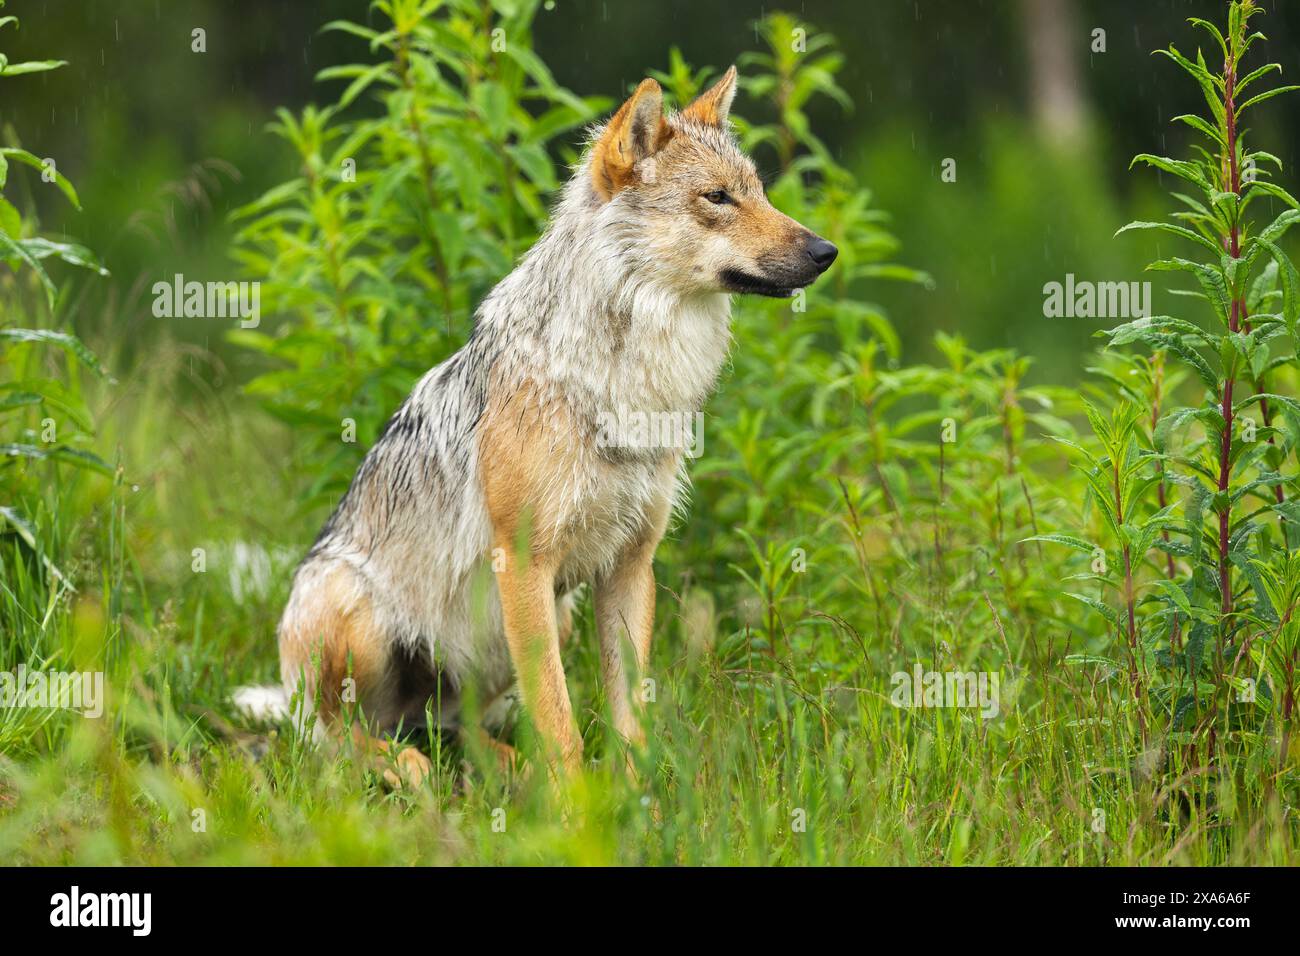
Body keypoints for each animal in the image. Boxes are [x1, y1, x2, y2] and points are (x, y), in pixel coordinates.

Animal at [235, 65, 837, 785]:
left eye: (760, 193)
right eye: (717, 198)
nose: (827, 250)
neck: (628, 382)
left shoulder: (631, 563)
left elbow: (629, 716)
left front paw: (636, 799)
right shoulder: (523, 562)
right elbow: (558, 717)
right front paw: (577, 805)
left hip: (541, 623)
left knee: (451, 724)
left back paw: (495, 766)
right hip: (362, 618)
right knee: (334, 739)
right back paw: (409, 768)